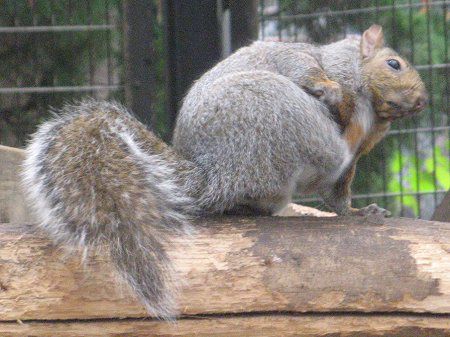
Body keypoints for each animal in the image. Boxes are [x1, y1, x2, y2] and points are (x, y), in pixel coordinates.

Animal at [22, 25, 428, 316]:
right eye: (394, 64)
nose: (423, 100)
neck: (371, 113)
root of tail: (215, 174)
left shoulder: (359, 154)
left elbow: (339, 198)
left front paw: (358, 212)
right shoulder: (311, 62)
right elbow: (304, 67)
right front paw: (330, 90)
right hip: (275, 106)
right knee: (320, 150)